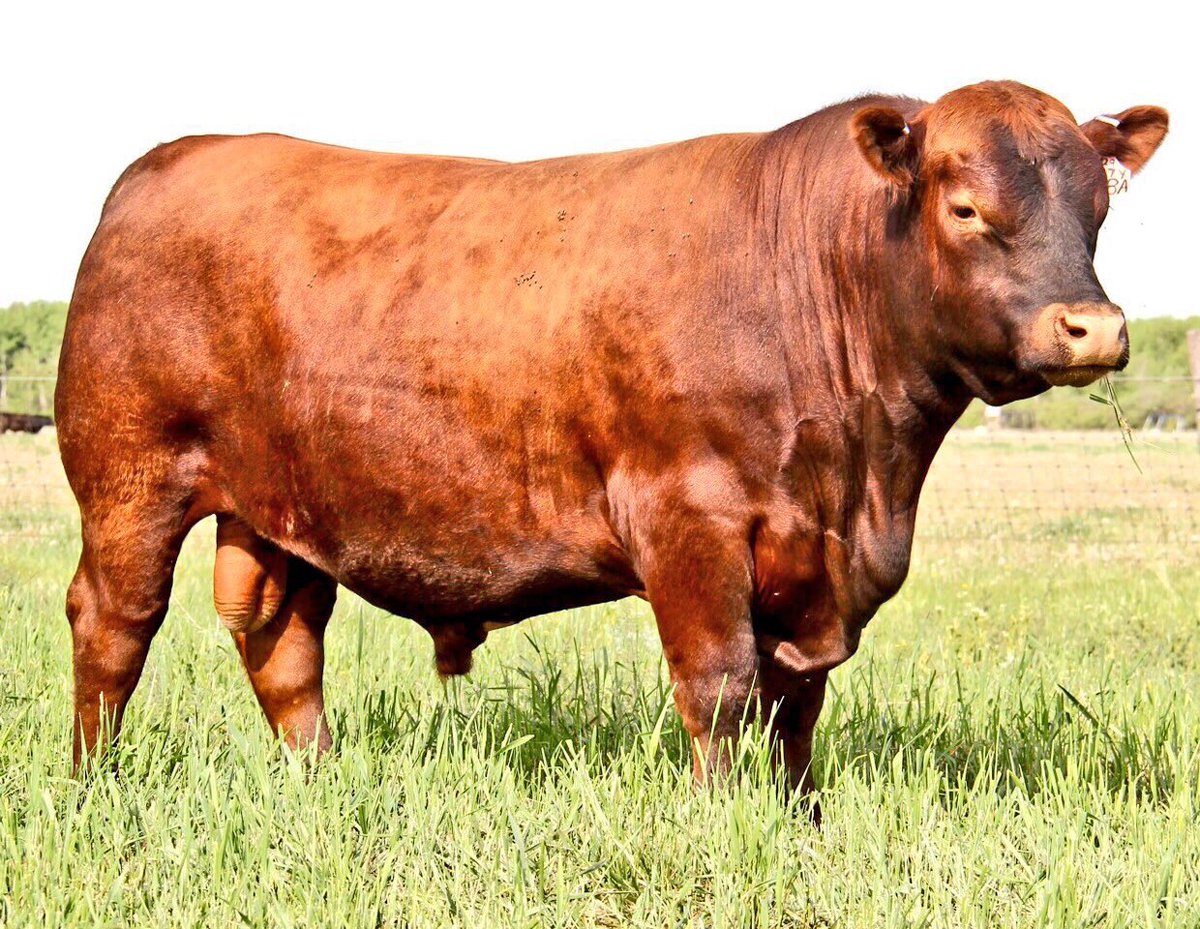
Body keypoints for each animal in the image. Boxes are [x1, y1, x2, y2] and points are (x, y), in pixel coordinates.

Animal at [56, 81, 1167, 796]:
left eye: (1098, 208)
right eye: (968, 207)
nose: (1093, 326)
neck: (865, 472)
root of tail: (167, 161)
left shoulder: (818, 566)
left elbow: (797, 704)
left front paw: (799, 820)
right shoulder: (690, 520)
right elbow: (720, 687)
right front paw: (728, 822)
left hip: (281, 507)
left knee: (284, 645)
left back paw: (321, 788)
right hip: (130, 478)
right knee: (114, 624)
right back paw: (93, 784)